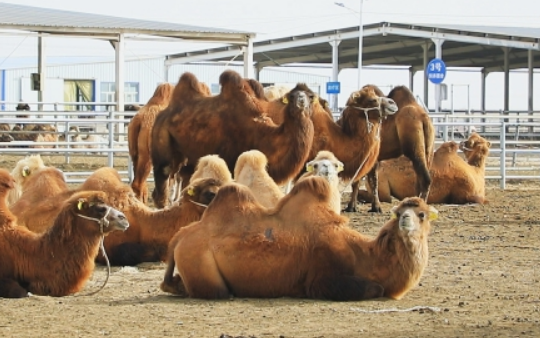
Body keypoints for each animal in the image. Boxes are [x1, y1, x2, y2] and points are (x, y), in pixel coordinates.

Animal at [150, 70, 314, 209]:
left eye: (311, 96)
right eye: (291, 96)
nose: (301, 101)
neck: (262, 133)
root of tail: (163, 114)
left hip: (186, 157)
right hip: (162, 139)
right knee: (164, 173)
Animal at [161, 177, 438, 302]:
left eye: (422, 214)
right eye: (399, 212)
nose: (405, 220)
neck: (366, 256)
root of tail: (179, 237)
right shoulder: (321, 280)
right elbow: (375, 288)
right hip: (198, 259)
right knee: (218, 291)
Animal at [356, 133, 492, 205]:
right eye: (472, 142)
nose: (489, 143)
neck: (475, 171)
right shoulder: (463, 194)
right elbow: (483, 200)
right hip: (383, 185)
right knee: (384, 198)